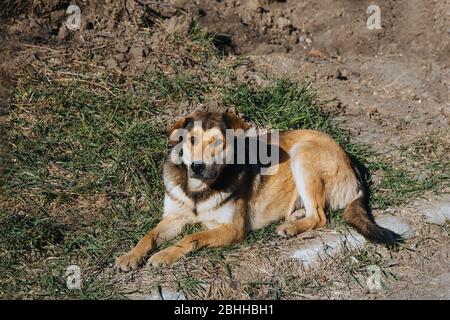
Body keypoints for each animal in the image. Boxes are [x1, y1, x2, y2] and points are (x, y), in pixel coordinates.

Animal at [114, 111, 400, 272]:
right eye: (191, 139)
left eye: (217, 142)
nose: (196, 167)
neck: (199, 189)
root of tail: (350, 160)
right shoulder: (173, 218)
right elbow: (148, 235)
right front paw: (130, 256)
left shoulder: (232, 229)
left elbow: (191, 238)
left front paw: (164, 255)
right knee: (315, 211)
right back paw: (295, 217)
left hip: (303, 155)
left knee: (320, 216)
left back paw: (291, 227)